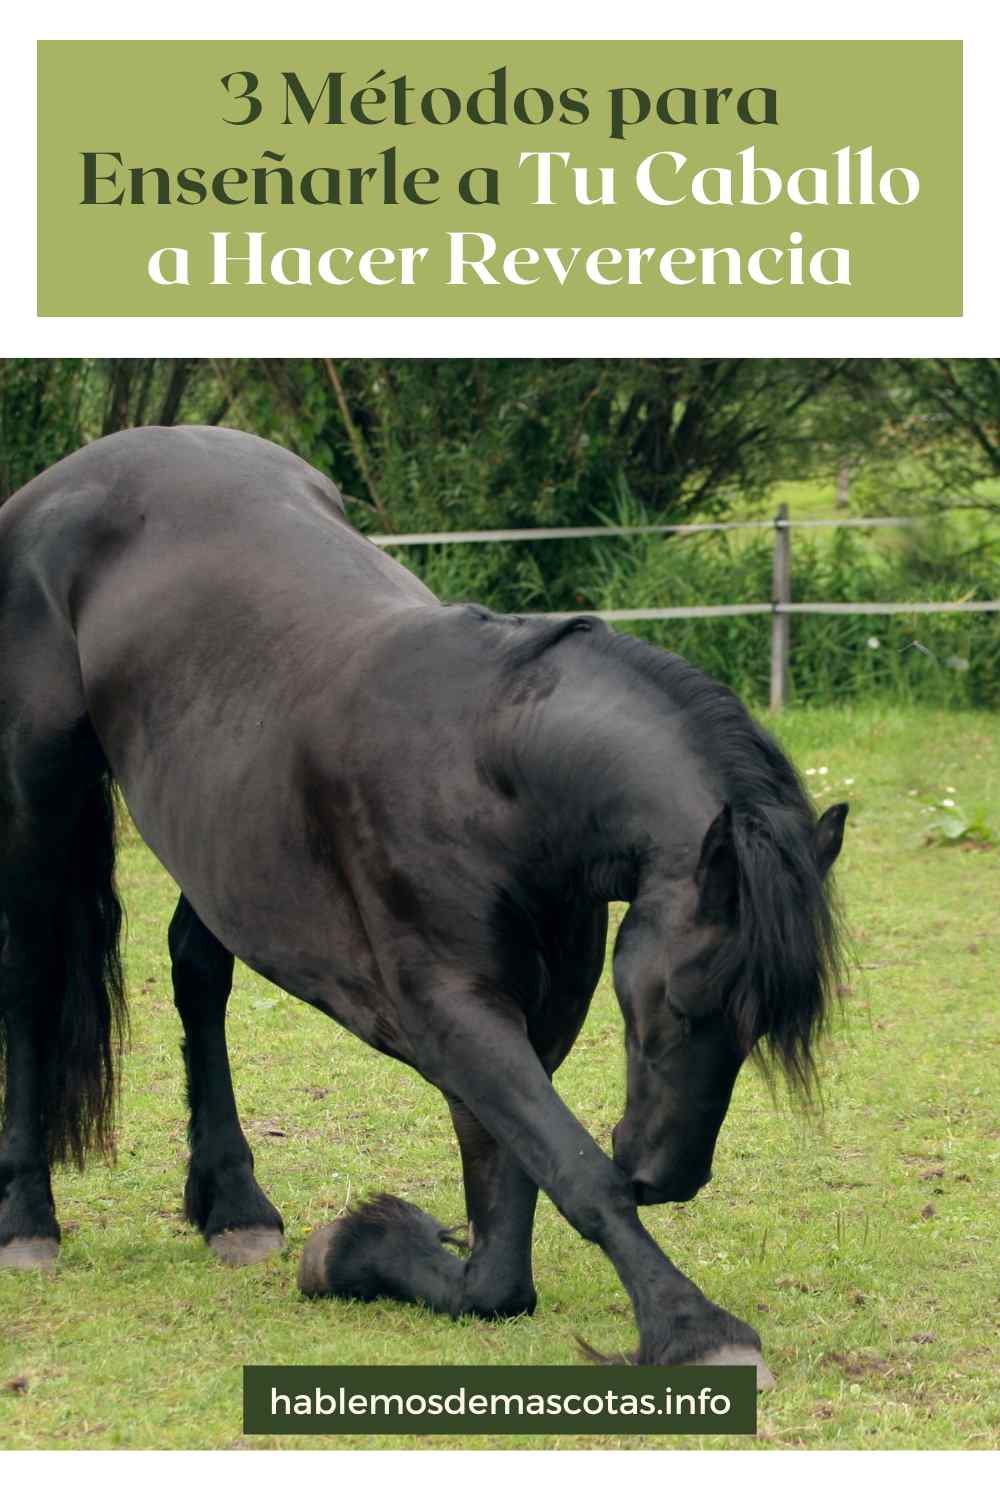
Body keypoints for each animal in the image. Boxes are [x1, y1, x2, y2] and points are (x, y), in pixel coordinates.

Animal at [0, 426, 847, 1387]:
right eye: (682, 1001)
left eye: (760, 1026)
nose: (667, 1179)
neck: (495, 774)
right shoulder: (451, 1012)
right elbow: (572, 1169)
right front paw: (694, 1327)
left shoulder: (537, 1015)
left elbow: (504, 1248)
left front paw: (354, 1249)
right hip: (40, 792)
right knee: (29, 978)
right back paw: (28, 1219)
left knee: (197, 977)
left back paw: (235, 1204)